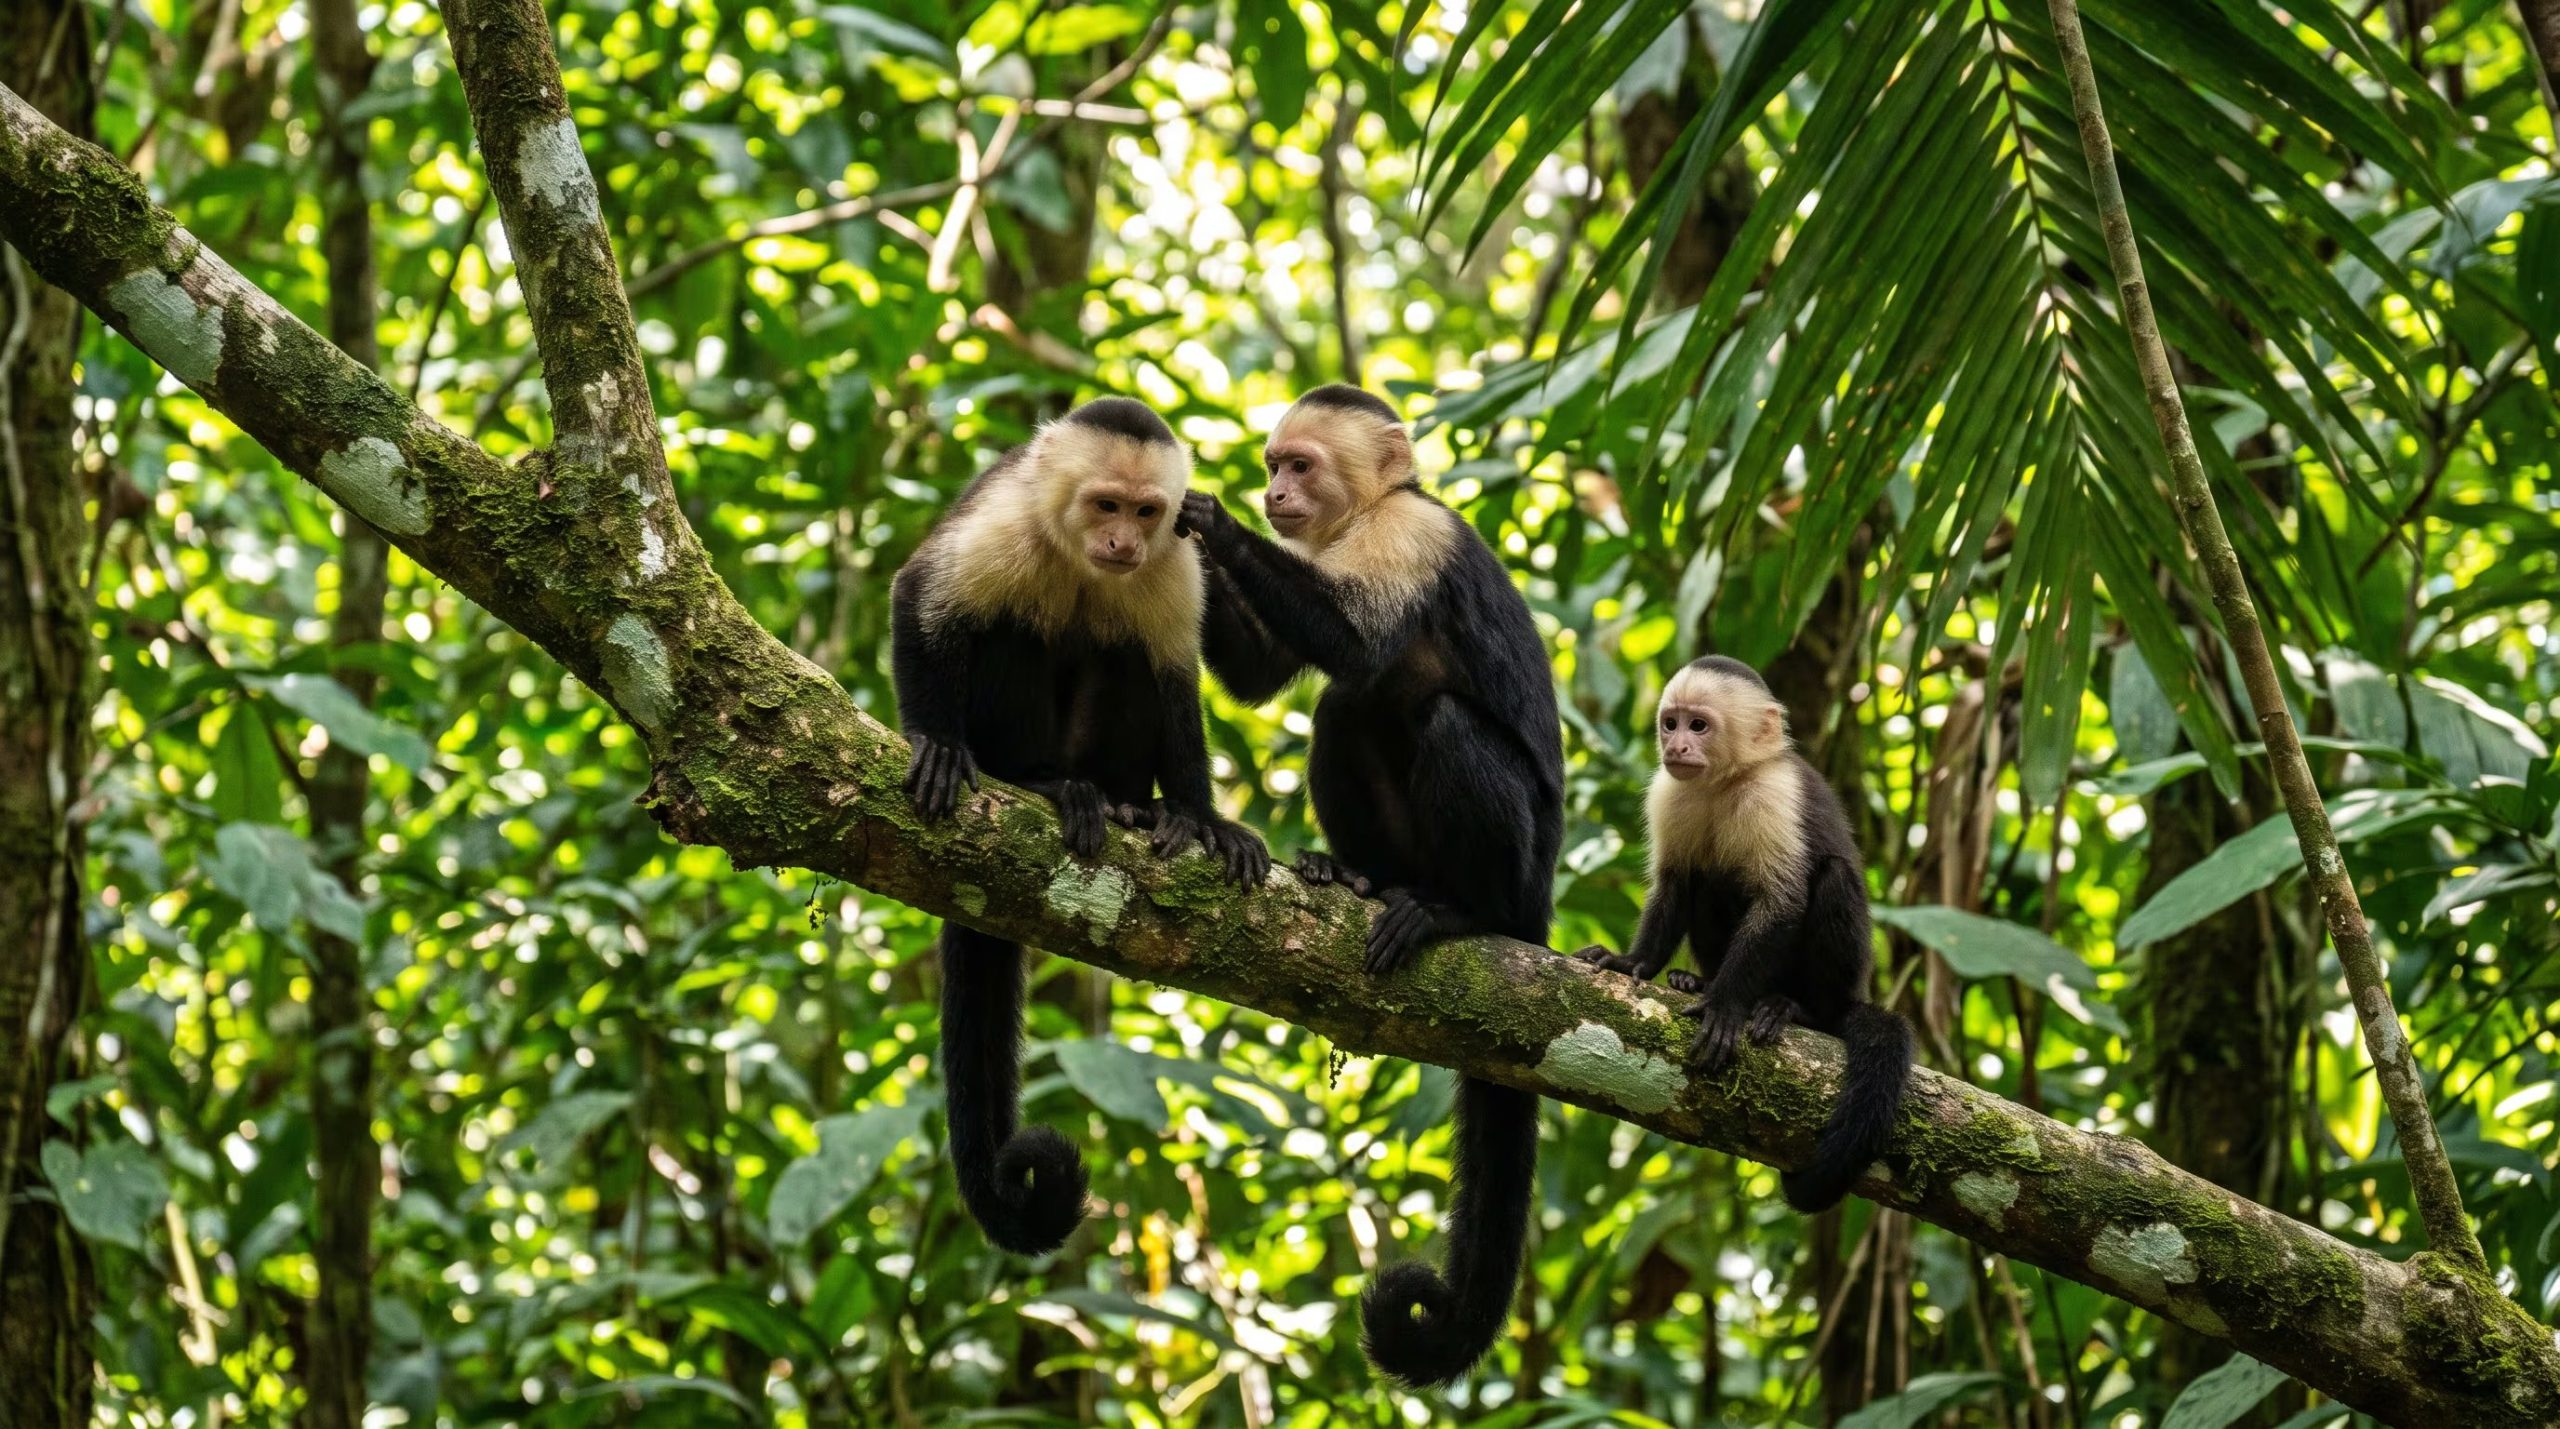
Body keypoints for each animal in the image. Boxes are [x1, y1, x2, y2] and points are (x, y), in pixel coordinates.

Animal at [890, 396, 1271, 1257]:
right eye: (1104, 505)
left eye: (1144, 511)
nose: (1123, 542)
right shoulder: (1005, 522)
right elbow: (920, 597)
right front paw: (936, 742)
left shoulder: (1174, 558)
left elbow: (1174, 671)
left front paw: (1201, 816)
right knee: (1016, 628)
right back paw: (1041, 779)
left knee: (1124, 652)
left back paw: (1129, 805)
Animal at [1176, 384, 1564, 1388]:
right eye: (1273, 463)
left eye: (1298, 465)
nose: (1272, 494)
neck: (1362, 514)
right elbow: (1269, 675)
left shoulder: (1411, 535)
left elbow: (1353, 641)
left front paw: (1210, 521)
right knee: (1343, 710)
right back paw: (1355, 874)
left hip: (1524, 872)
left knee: (1433, 716)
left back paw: (1457, 912)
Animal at [1575, 655, 1913, 1213]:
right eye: (1671, 723)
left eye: (1699, 726)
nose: (1676, 747)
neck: (1725, 781)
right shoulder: (1669, 791)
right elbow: (1675, 883)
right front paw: (1634, 963)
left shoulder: (1774, 795)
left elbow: (1781, 902)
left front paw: (1725, 1005)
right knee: (1708, 880)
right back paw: (1696, 980)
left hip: (1839, 981)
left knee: (1833, 880)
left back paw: (1798, 1009)